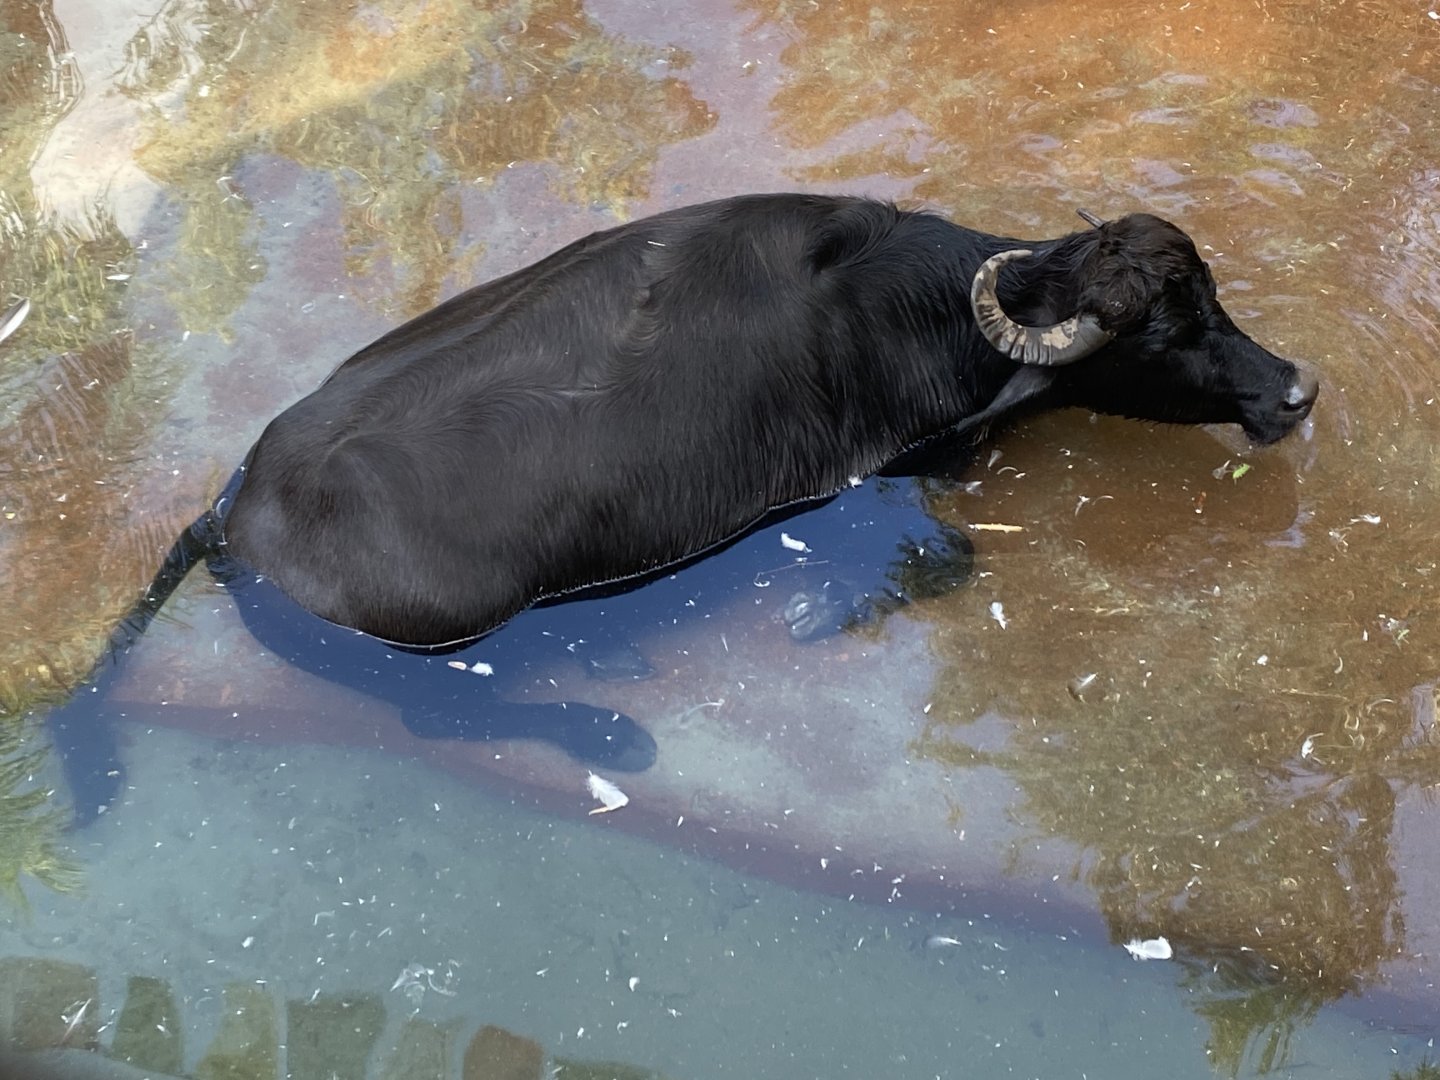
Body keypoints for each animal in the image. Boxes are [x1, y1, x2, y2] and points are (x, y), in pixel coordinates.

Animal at [44, 193, 1317, 822]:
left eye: (1212, 294)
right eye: (1167, 327)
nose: (1294, 388)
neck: (899, 315)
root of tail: (232, 513)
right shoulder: (867, 483)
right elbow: (948, 560)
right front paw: (820, 614)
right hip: (440, 639)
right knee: (440, 717)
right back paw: (608, 727)